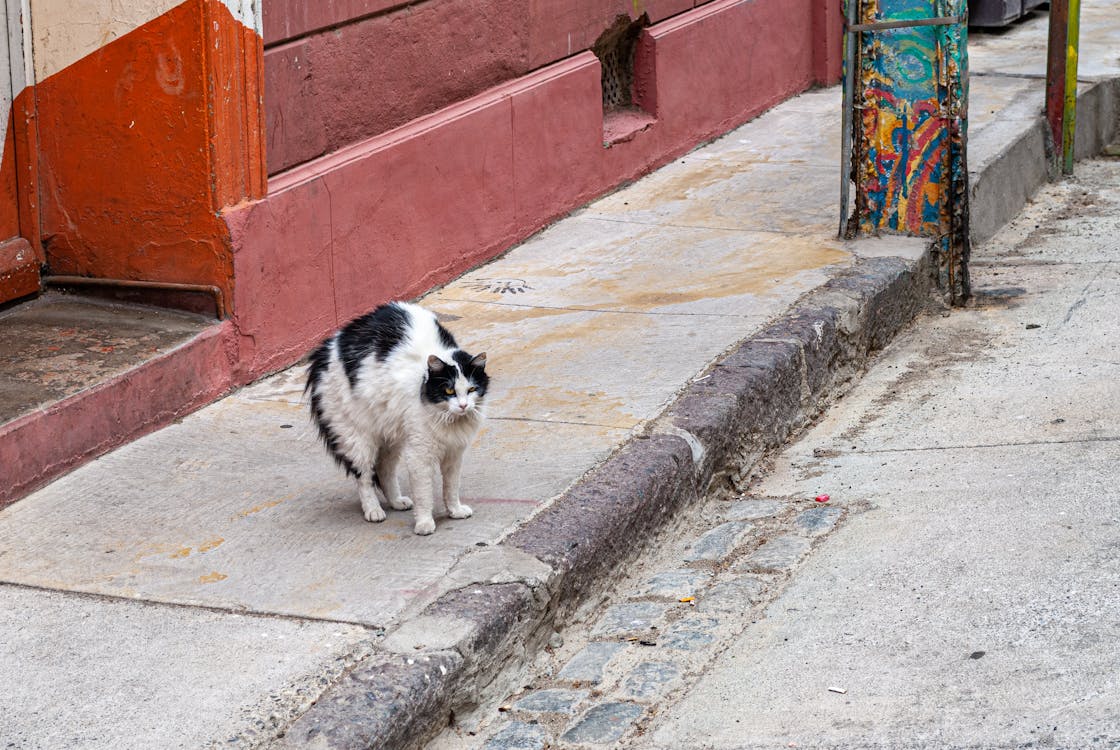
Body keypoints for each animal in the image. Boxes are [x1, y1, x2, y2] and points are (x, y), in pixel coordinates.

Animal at [304, 302, 488, 537]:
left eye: (472, 389)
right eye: (449, 390)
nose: (463, 406)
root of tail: (325, 348)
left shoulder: (454, 453)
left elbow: (451, 487)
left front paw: (454, 510)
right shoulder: (419, 455)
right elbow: (424, 494)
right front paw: (424, 523)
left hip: (391, 437)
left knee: (384, 471)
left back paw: (396, 501)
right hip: (357, 439)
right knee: (364, 478)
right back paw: (373, 511)